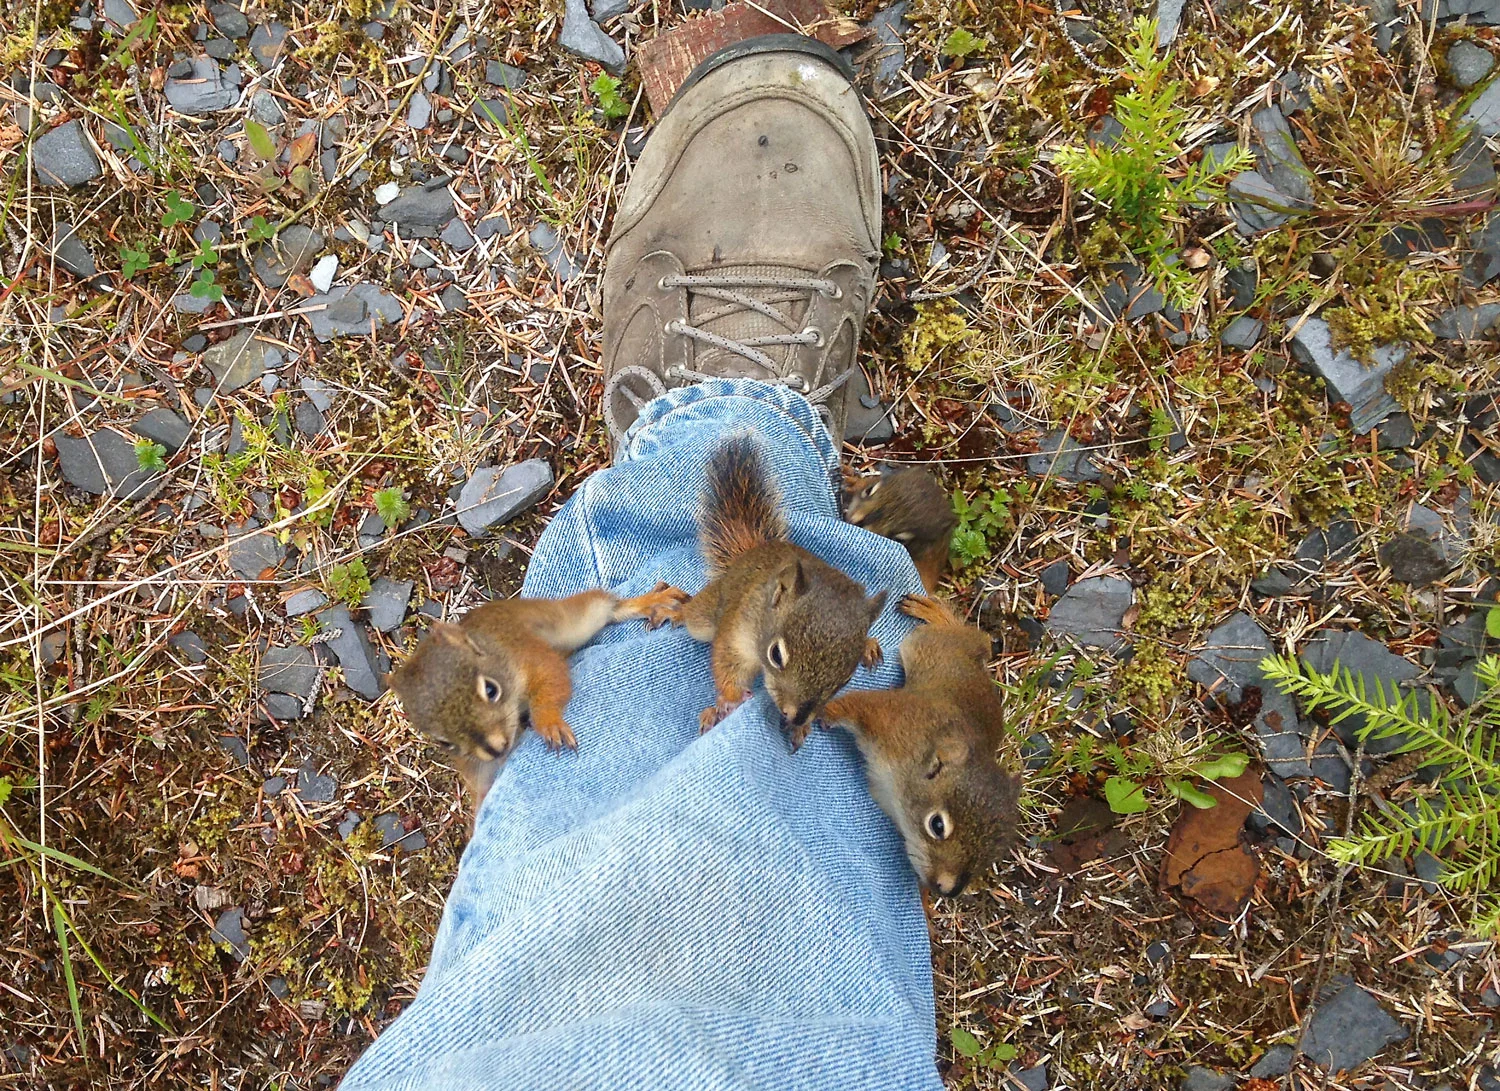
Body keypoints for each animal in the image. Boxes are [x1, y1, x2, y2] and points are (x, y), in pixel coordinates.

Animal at [389, 584, 688, 811]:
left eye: (491, 690)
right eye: (444, 742)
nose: (496, 749)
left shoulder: (528, 654)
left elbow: (551, 679)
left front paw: (549, 723)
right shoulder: (478, 765)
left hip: (569, 620)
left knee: (607, 606)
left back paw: (653, 602)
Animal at [661, 435, 888, 749]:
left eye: (845, 680)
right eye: (776, 655)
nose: (796, 715)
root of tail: (754, 551)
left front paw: (800, 728)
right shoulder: (736, 630)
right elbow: (726, 663)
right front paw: (730, 699)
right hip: (707, 615)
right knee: (695, 615)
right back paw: (677, 610)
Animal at [821, 593, 1020, 896]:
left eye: (993, 854)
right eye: (937, 825)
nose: (948, 890)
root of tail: (974, 661)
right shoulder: (891, 721)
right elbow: (851, 705)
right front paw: (817, 715)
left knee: (981, 639)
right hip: (927, 645)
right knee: (966, 635)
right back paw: (937, 615)